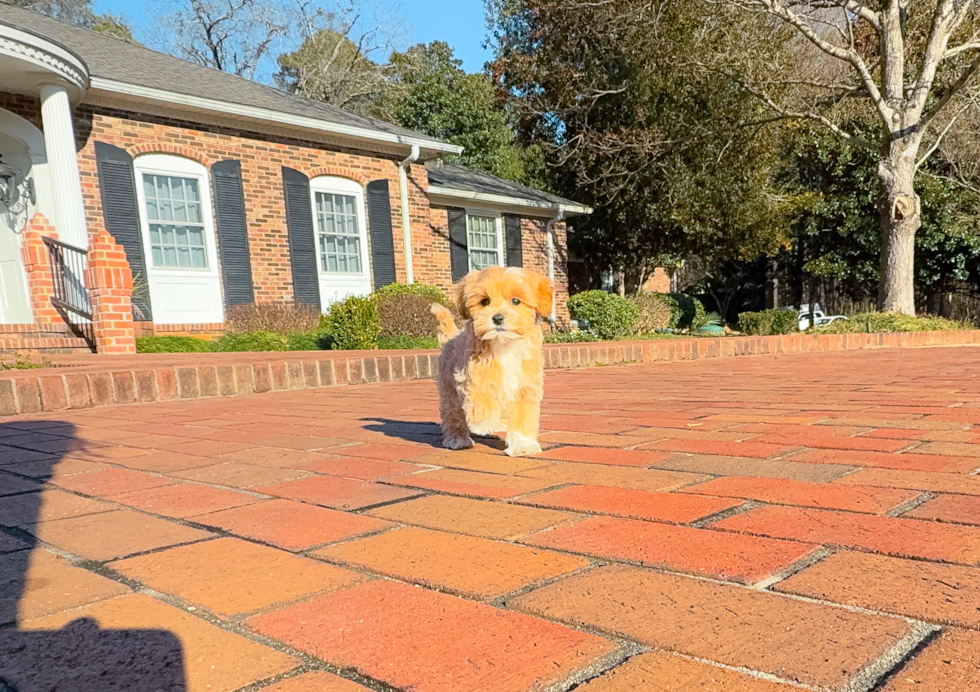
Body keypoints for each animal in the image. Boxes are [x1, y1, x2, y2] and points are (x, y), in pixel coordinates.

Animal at [428, 268, 552, 456]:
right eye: (484, 301)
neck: (504, 345)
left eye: (516, 301)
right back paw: (458, 439)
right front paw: (484, 423)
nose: (498, 318)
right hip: (449, 391)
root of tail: (451, 337)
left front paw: (522, 445)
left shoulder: (525, 388)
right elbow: (481, 395)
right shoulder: (471, 374)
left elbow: (523, 416)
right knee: (453, 415)